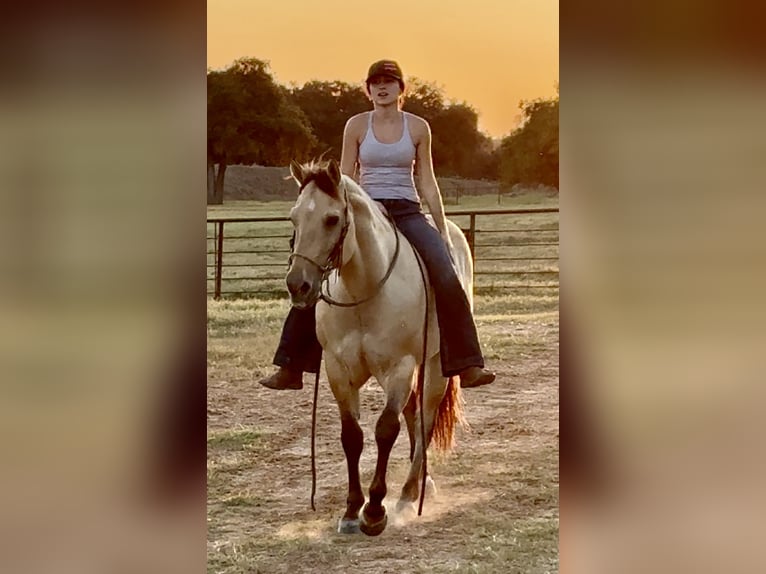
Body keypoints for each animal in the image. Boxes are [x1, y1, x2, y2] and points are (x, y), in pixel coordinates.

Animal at [285, 158, 472, 536]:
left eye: (332, 219)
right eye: (294, 218)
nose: (298, 285)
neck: (364, 290)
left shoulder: (400, 367)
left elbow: (386, 430)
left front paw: (374, 511)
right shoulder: (338, 370)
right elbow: (352, 436)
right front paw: (350, 509)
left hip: (434, 369)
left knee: (425, 420)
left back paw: (409, 494)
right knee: (414, 415)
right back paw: (422, 486)